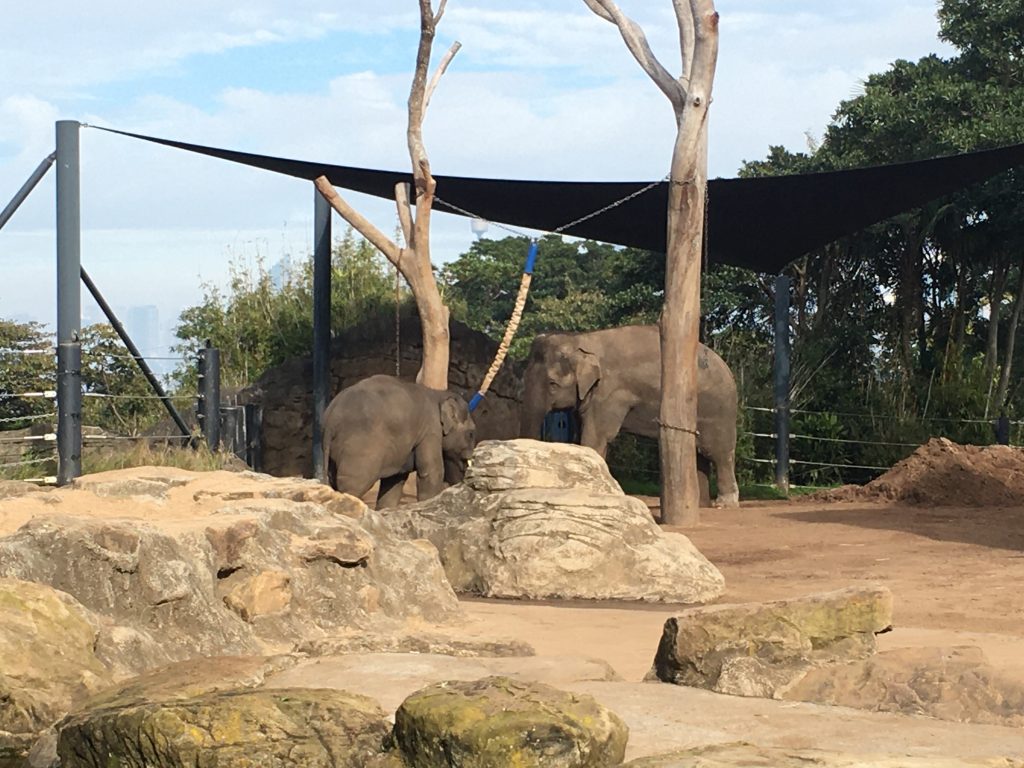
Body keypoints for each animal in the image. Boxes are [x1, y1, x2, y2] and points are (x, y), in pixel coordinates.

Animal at [322, 374, 476, 509]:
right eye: (471, 433)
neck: (438, 394)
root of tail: (330, 419)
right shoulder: (430, 431)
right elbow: (431, 471)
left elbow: (394, 480)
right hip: (359, 447)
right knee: (353, 482)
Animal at [520, 325, 739, 507]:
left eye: (552, 384)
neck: (581, 340)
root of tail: (728, 370)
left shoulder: (611, 392)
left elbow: (596, 435)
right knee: (699, 454)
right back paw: (701, 505)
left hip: (719, 411)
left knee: (719, 453)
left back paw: (724, 504)